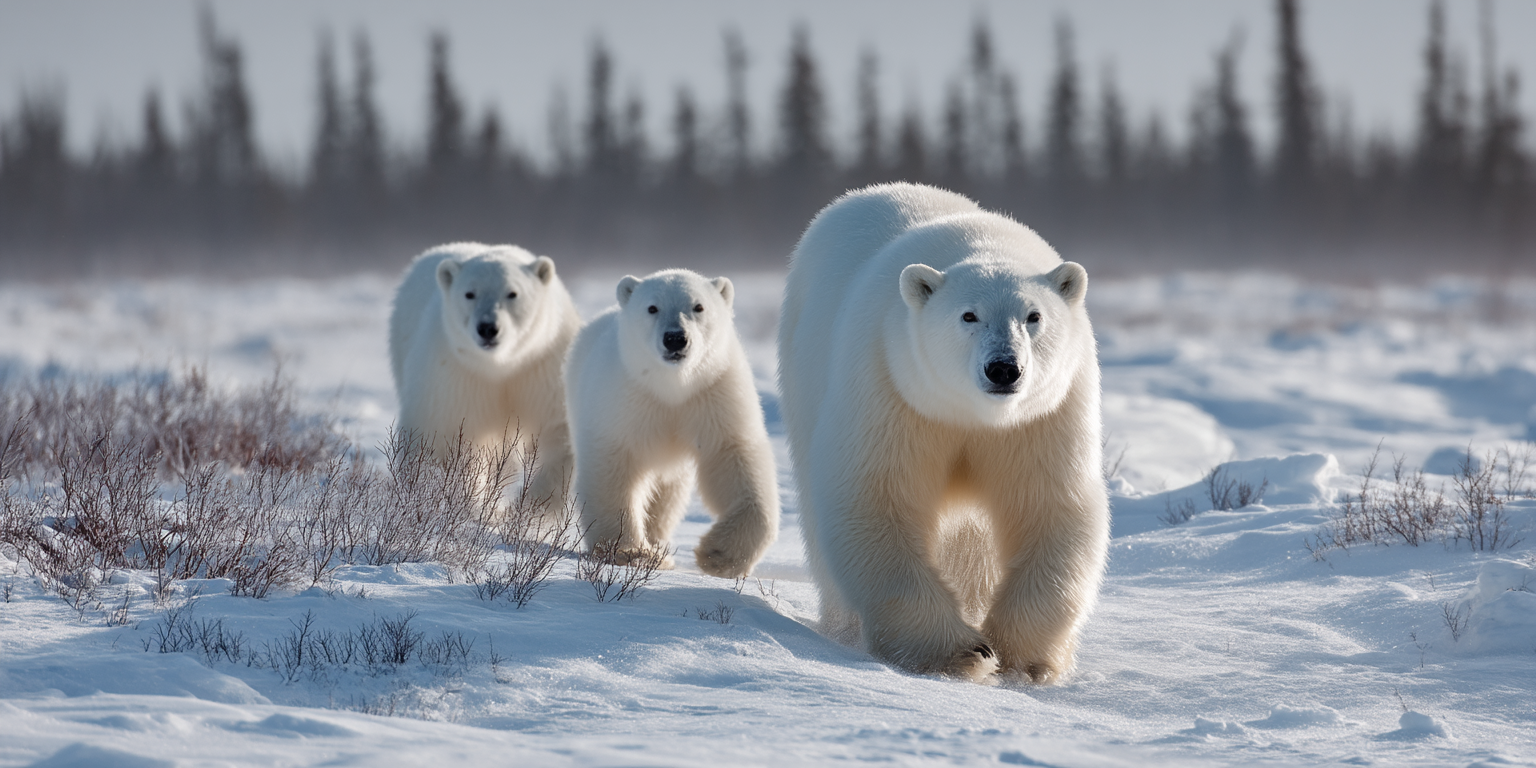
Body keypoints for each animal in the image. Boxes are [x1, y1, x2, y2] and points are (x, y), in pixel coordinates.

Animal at [388, 242, 581, 513]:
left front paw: (530, 510)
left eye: (512, 293)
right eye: (470, 293)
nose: (488, 327)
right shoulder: (453, 375)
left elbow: (559, 431)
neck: (500, 365)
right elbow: (438, 436)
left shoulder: (544, 367)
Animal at [565, 269, 779, 578]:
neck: (672, 386)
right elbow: (614, 468)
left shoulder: (714, 393)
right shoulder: (624, 402)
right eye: (652, 307)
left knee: (669, 493)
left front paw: (720, 555)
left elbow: (733, 458)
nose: (675, 338)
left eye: (698, 306)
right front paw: (632, 553)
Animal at [777, 183, 1108, 683]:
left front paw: (1021, 658)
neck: (975, 416)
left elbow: (1051, 506)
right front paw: (961, 652)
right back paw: (842, 626)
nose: (1003, 368)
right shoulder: (893, 385)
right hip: (804, 377)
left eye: (1033, 315)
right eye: (968, 315)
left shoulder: (1045, 415)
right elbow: (878, 499)